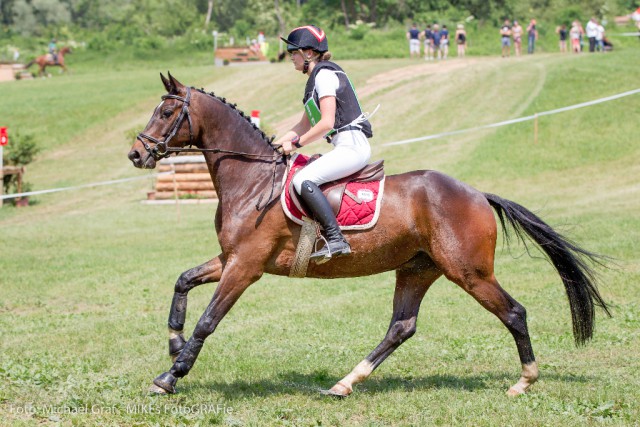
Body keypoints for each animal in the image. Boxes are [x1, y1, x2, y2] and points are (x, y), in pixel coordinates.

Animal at [126, 72, 608, 398]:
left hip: (468, 271)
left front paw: (170, 376)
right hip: (418, 268)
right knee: (402, 326)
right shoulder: (230, 259)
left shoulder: (245, 267)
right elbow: (183, 281)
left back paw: (524, 381)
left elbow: (209, 320)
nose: (135, 153)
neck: (252, 179)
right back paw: (345, 382)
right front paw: (173, 344)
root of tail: (476, 194)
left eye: (166, 112)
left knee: (514, 312)